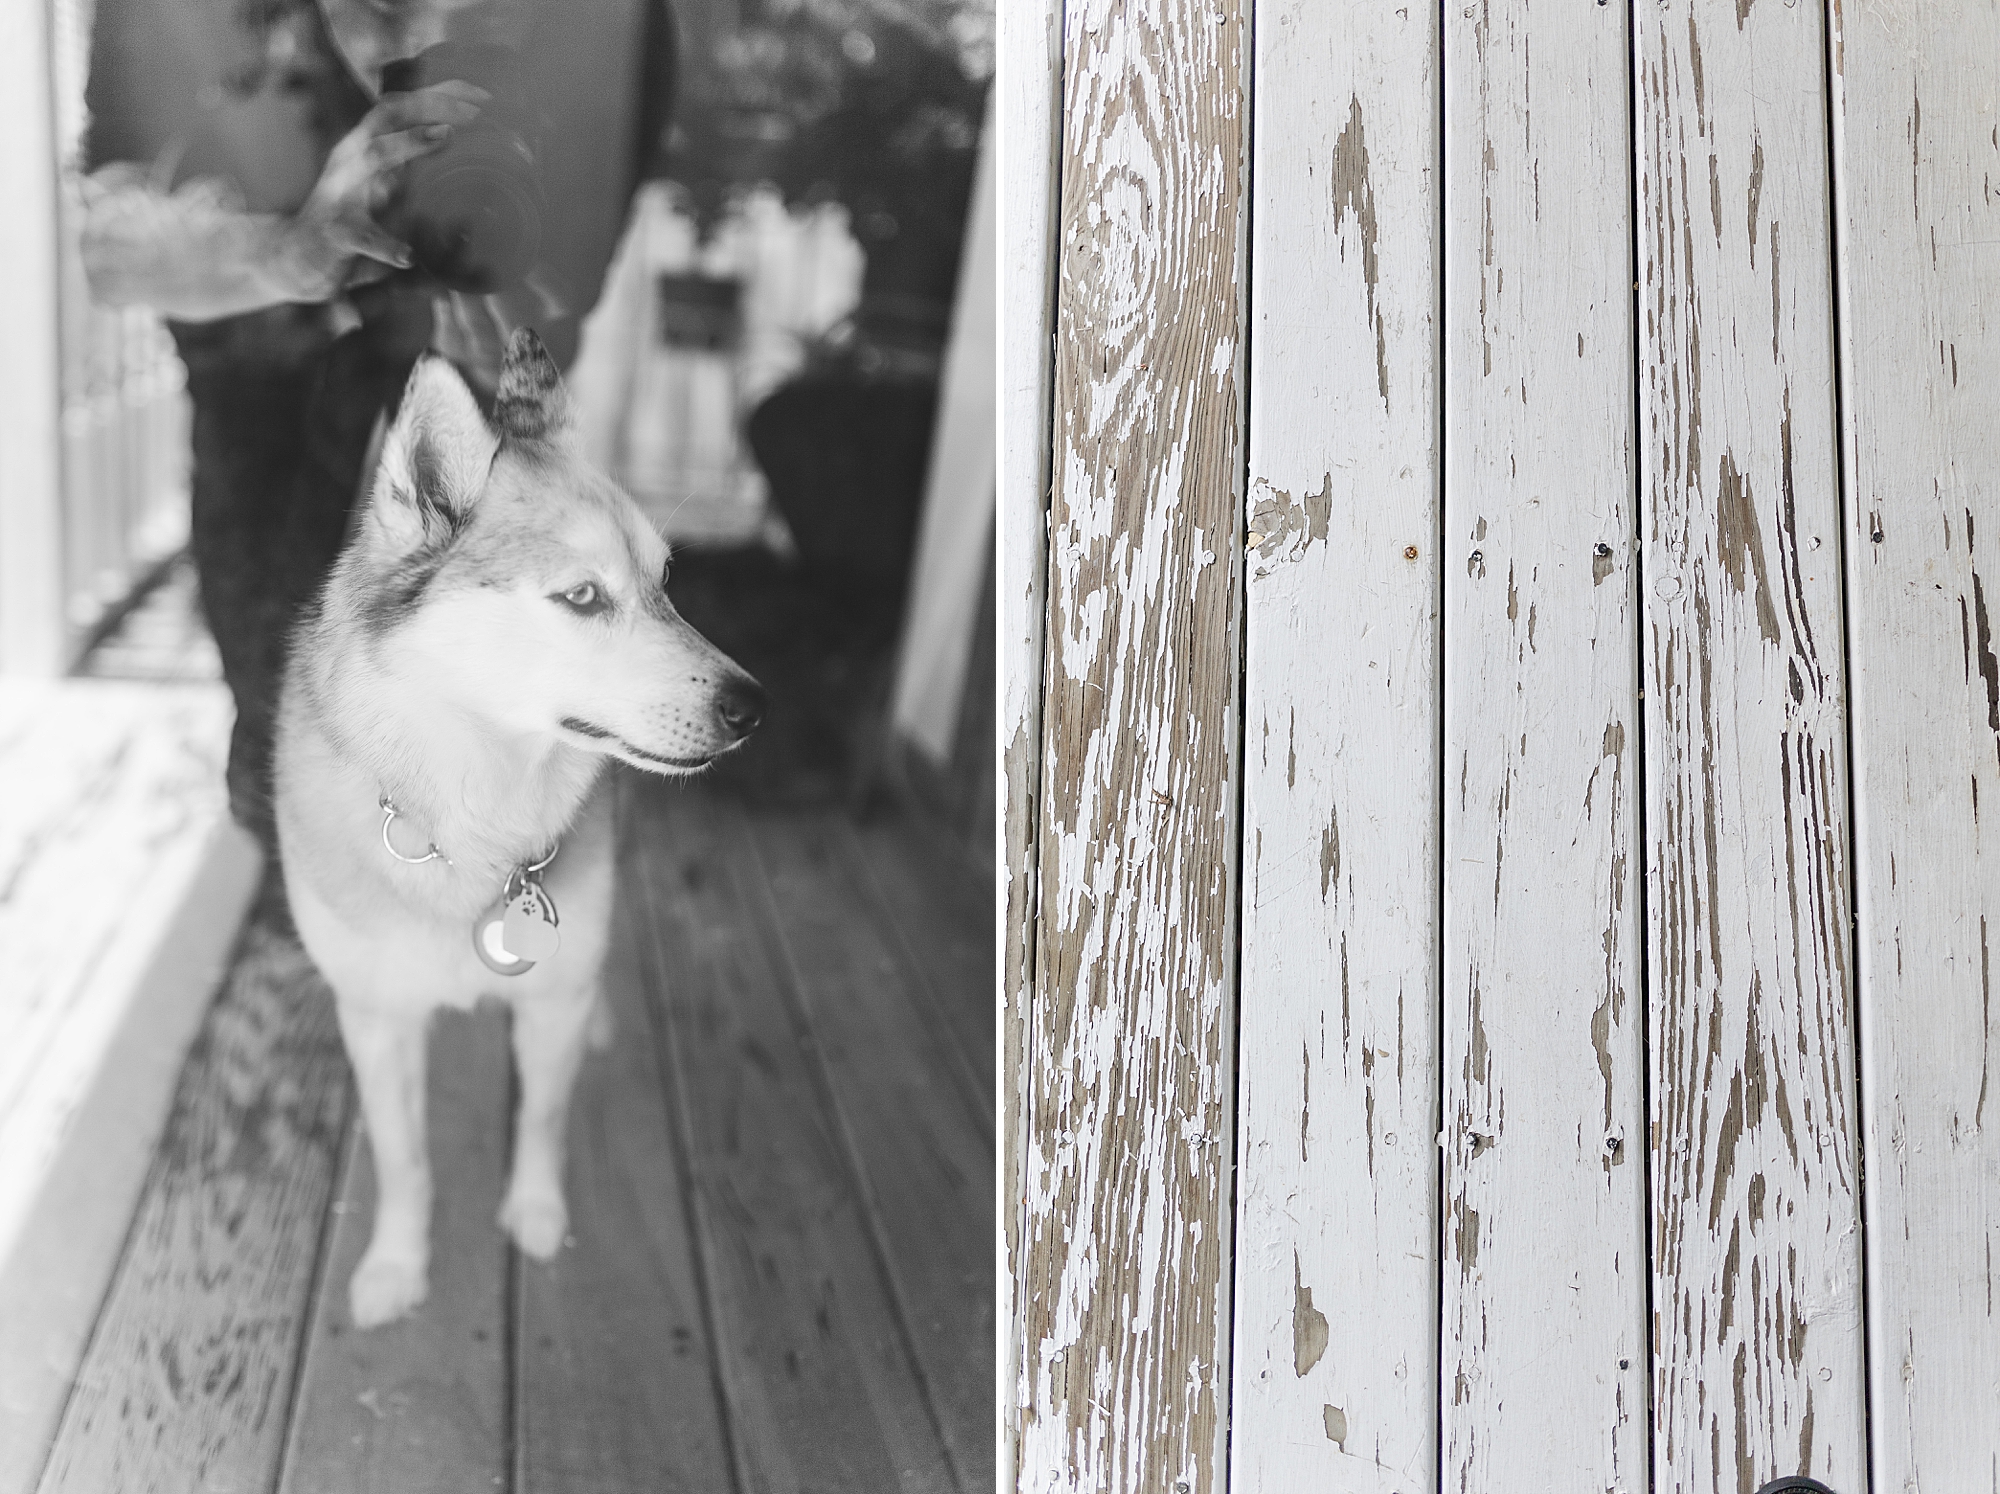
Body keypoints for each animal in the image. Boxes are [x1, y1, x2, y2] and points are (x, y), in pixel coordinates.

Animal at [274, 334, 756, 1328]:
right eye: (581, 598)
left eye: (665, 583)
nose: (752, 708)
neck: (472, 814)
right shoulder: (377, 1022)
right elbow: (404, 1161)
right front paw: (397, 1263)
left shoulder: (550, 1006)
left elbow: (542, 1116)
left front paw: (536, 1212)